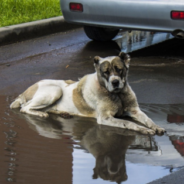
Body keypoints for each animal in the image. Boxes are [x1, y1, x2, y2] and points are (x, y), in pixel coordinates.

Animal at [10, 52, 165, 134]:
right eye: (105, 72)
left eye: (119, 69)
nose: (115, 82)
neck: (118, 95)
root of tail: (27, 89)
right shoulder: (105, 118)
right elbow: (128, 123)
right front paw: (142, 129)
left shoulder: (135, 111)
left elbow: (148, 119)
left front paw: (156, 127)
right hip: (55, 91)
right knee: (25, 107)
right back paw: (40, 114)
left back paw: (62, 113)